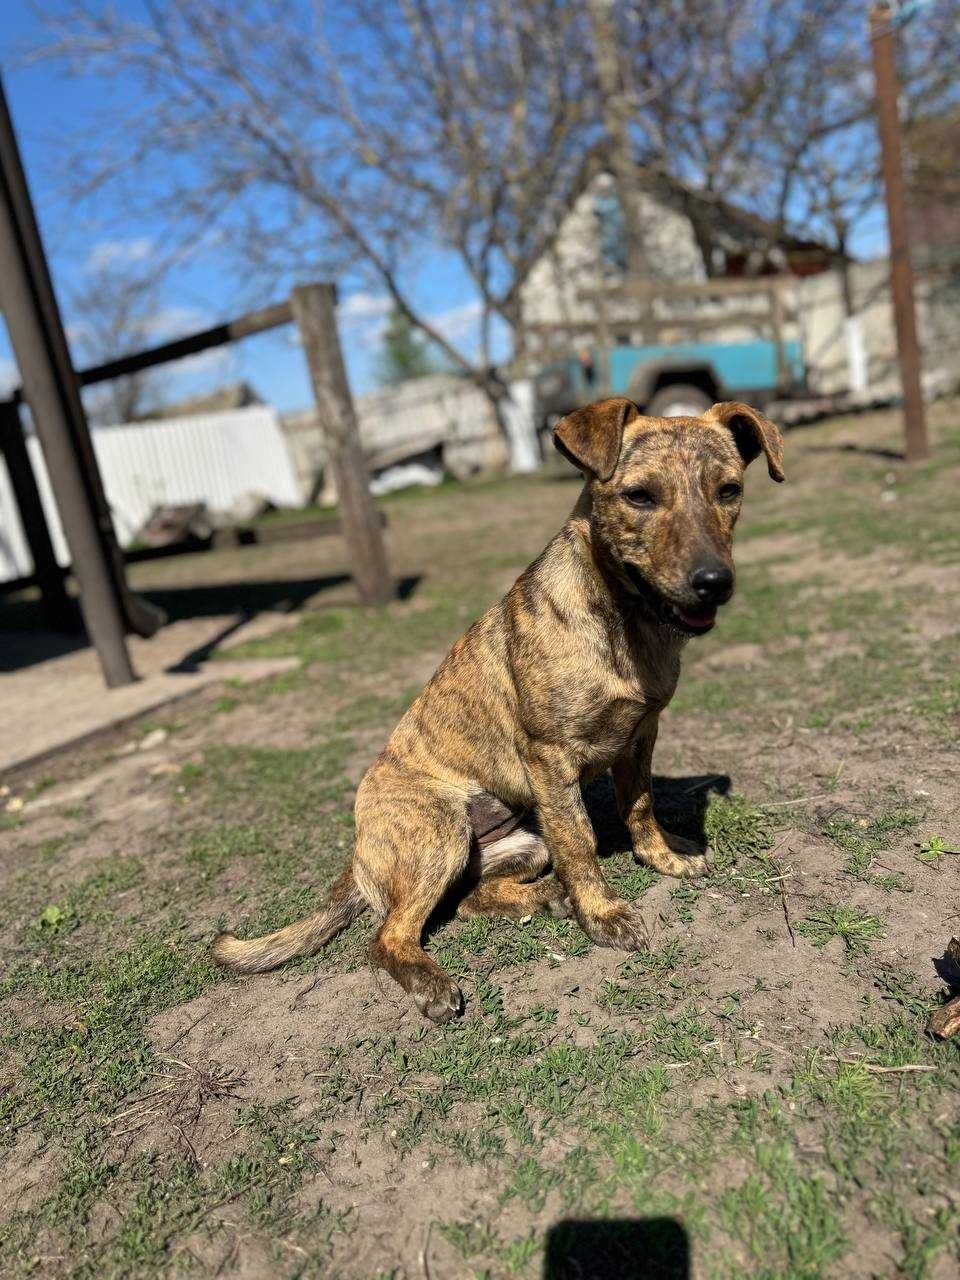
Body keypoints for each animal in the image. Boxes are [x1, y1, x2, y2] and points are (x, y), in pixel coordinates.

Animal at [213, 399, 783, 1018]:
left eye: (729, 491)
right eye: (640, 496)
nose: (714, 582)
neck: (624, 622)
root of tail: (359, 851)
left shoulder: (640, 736)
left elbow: (639, 808)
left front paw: (664, 861)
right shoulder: (551, 759)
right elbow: (581, 842)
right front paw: (603, 914)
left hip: (522, 843)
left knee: (463, 901)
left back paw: (545, 896)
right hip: (438, 833)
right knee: (388, 935)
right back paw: (433, 981)